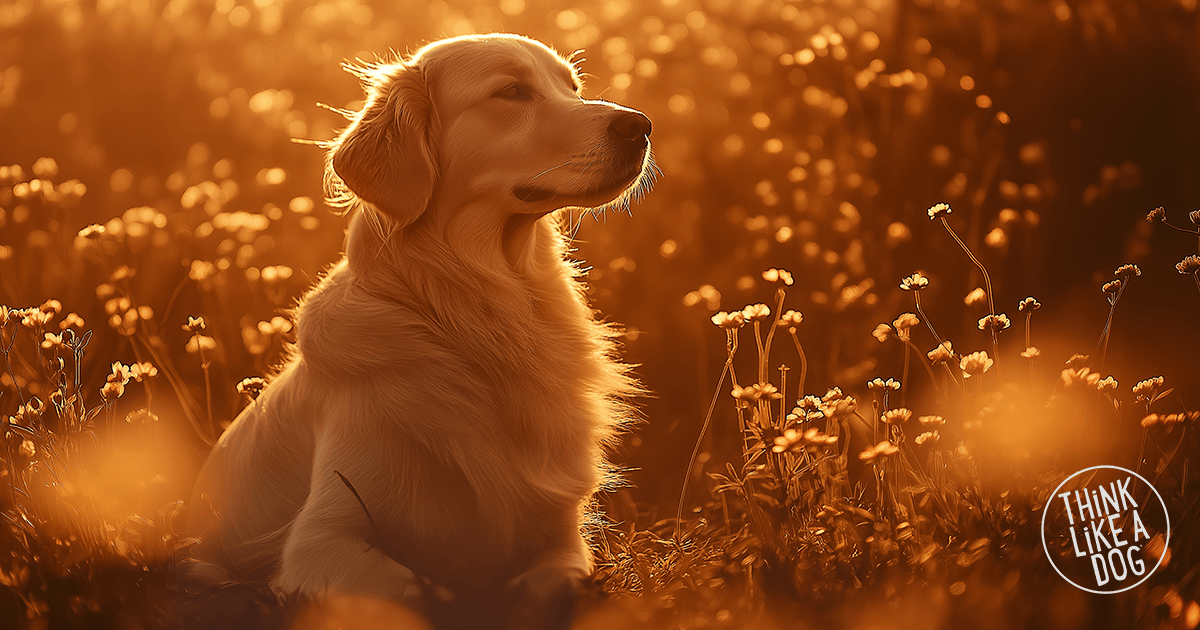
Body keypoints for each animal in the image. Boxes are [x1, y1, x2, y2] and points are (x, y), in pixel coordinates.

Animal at [186, 33, 652, 628]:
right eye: (511, 92)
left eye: (572, 87)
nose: (640, 124)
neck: (476, 318)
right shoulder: (320, 542)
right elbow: (414, 588)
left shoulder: (563, 537)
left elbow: (547, 582)